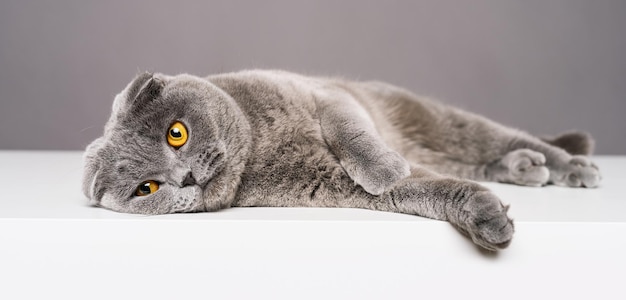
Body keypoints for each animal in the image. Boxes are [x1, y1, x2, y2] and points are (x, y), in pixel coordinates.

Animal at [80, 70, 596, 251]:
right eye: (146, 189)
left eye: (177, 133)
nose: (184, 176)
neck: (260, 142)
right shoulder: (327, 183)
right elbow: (424, 189)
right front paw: (487, 217)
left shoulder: (323, 97)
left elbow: (351, 134)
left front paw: (383, 167)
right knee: (474, 163)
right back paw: (524, 167)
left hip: (439, 119)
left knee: (499, 137)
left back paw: (572, 165)